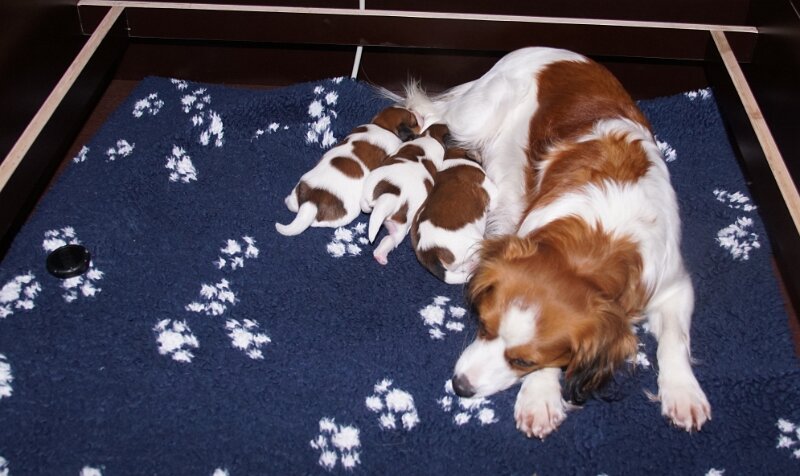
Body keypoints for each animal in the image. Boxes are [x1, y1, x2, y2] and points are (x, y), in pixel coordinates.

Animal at [275, 106, 420, 236]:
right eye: (414, 122)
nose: (419, 115)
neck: (383, 126)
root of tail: (312, 200)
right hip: (349, 212)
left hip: (300, 187)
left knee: (292, 204)